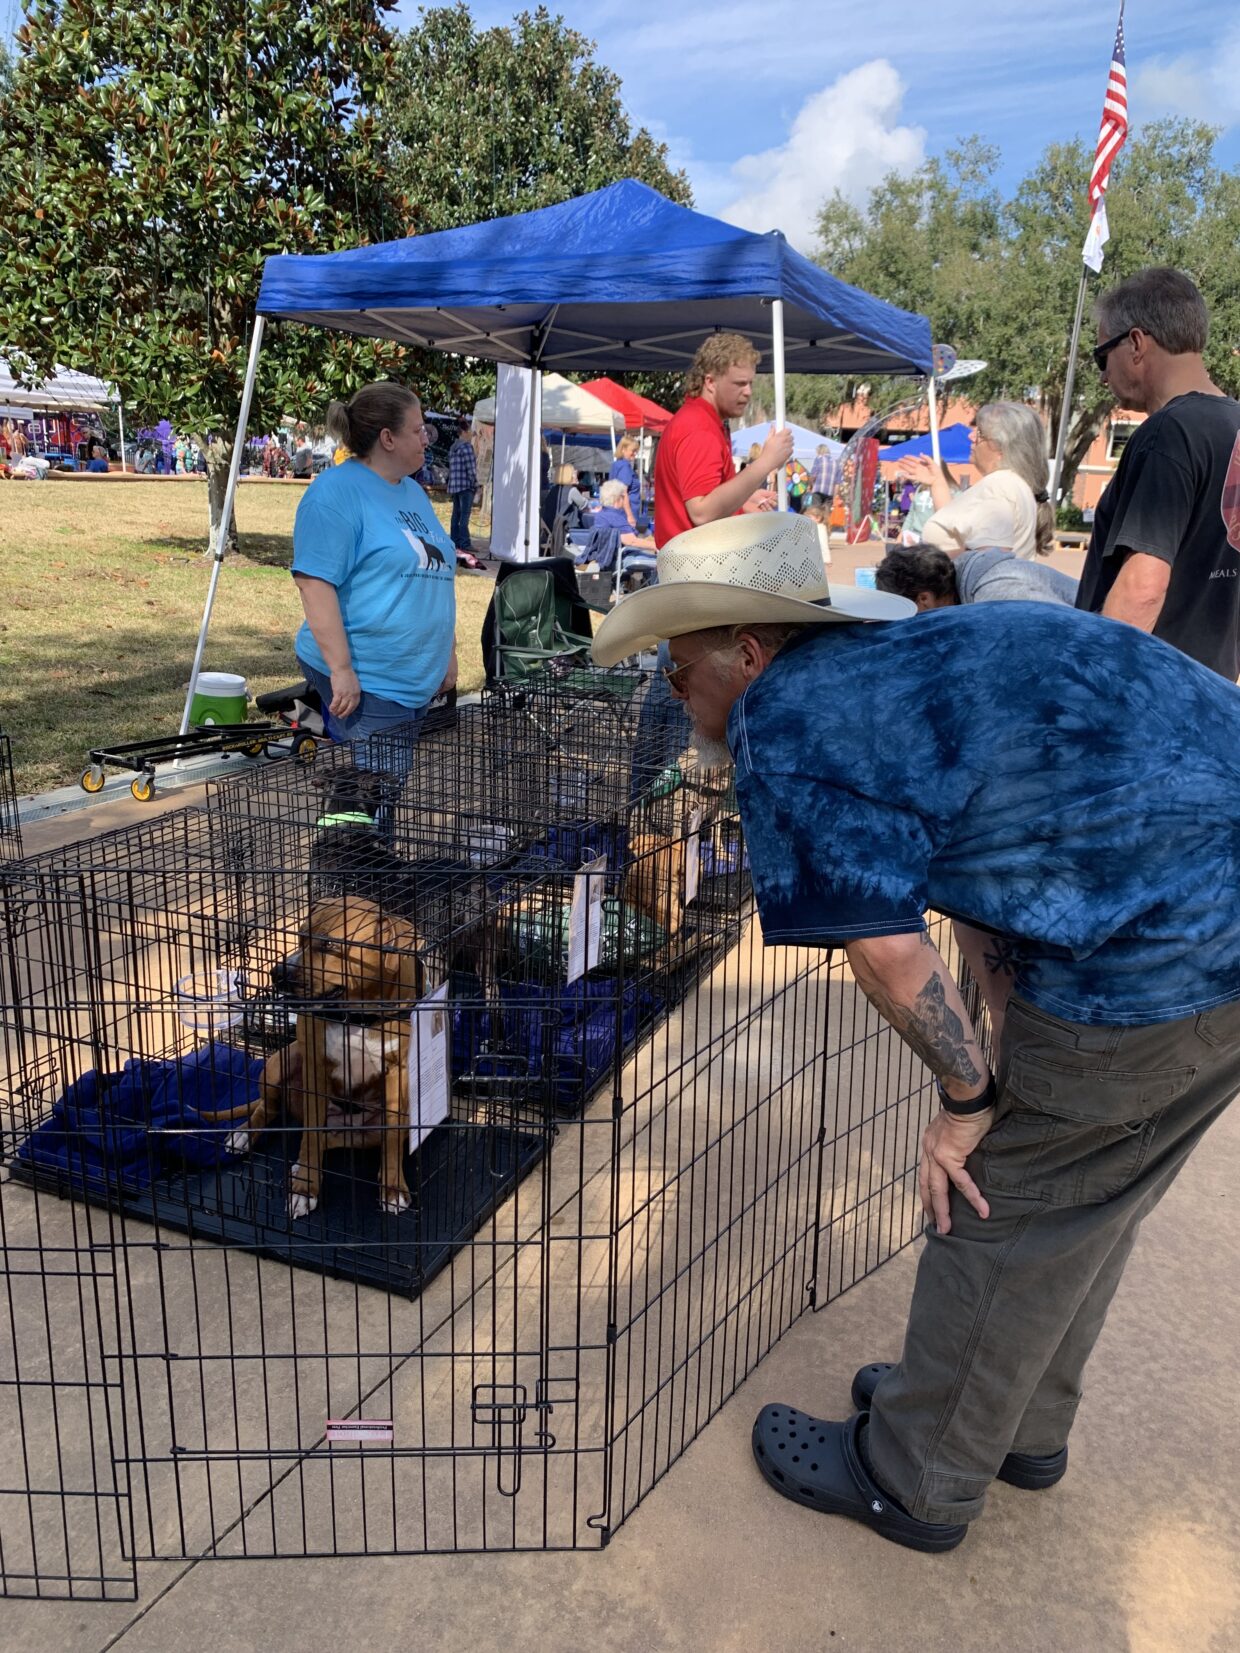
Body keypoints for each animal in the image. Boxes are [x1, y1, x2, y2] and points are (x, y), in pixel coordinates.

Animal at [225, 896, 425, 1219]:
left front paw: (393, 1187)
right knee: (272, 1111)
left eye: (330, 945)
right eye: (300, 937)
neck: (358, 1015)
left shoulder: (399, 1073)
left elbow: (392, 1138)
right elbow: (309, 1135)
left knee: (337, 1139)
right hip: (280, 1063)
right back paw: (248, 1138)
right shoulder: (314, 1069)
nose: (277, 973)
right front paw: (305, 1190)